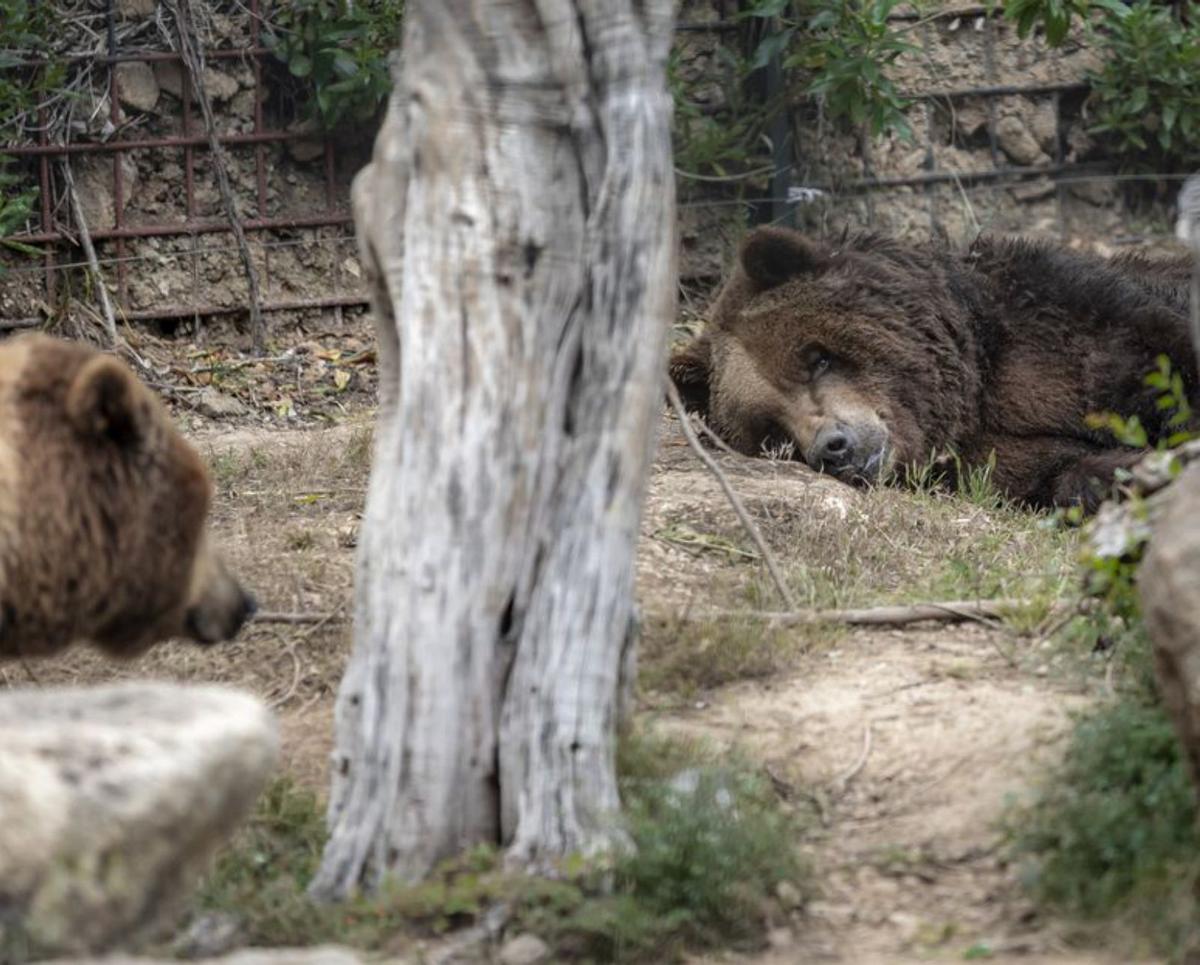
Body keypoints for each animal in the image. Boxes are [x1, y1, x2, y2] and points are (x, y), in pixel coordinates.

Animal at [672, 226, 1195, 513]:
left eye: (815, 359)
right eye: (771, 432)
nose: (834, 448)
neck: (973, 390)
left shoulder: (1067, 325)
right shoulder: (990, 454)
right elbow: (1065, 470)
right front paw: (1141, 470)